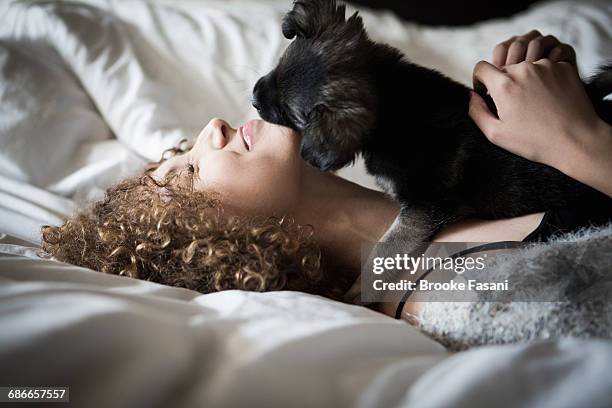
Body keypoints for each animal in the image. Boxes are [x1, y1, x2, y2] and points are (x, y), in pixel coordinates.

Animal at [252, 0, 612, 245]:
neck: (392, 99)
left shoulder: (422, 209)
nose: (254, 97)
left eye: (288, 113)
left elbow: (384, 250)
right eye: (278, 66)